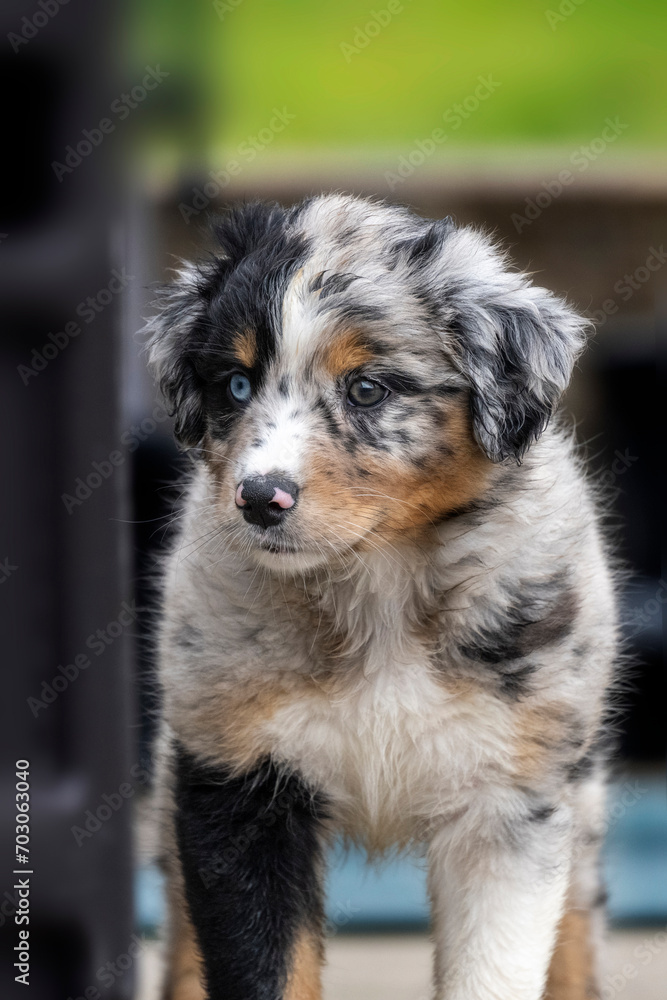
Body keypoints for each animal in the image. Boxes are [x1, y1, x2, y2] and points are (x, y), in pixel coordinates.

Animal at [149, 195, 620, 1000]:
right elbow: (265, 968)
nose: (258, 500)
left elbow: (494, 971)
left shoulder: (510, 801)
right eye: (235, 385)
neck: (379, 588)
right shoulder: (230, 783)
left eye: (366, 389)